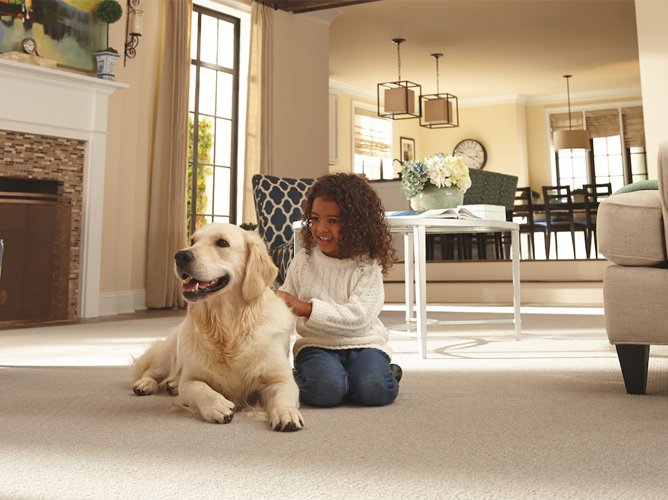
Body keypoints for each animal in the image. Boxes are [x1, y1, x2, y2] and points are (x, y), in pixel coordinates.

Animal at [132, 222, 304, 430]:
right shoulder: (191, 380)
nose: (180, 256)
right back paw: (145, 384)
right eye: (193, 241)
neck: (226, 327)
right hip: (169, 352)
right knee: (152, 371)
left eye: (222, 243)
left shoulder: (280, 378)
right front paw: (217, 406)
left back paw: (171, 384)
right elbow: (199, 387)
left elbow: (284, 395)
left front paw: (286, 413)